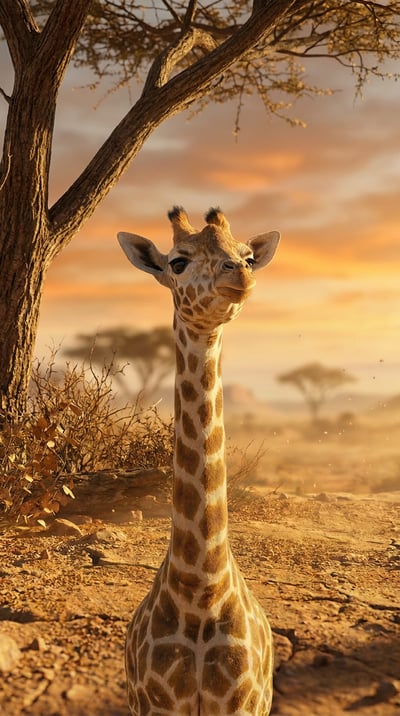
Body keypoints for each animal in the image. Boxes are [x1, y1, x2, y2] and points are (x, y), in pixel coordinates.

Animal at [118, 207, 280, 716]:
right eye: (178, 261)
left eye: (247, 255)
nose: (240, 275)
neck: (201, 590)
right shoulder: (156, 704)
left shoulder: (244, 703)